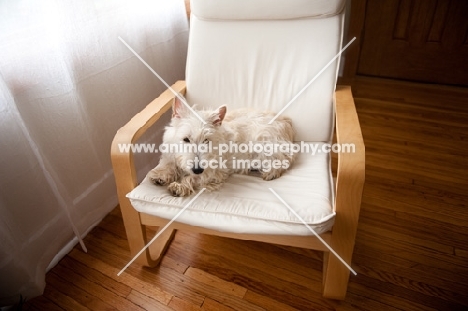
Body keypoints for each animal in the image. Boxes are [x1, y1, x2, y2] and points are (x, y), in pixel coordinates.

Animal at [147, 95, 296, 197]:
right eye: (186, 139)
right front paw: (160, 175)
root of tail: (286, 121)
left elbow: (194, 178)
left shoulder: (215, 172)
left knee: (285, 158)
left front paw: (179, 186)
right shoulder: (172, 154)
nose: (197, 169)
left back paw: (271, 173)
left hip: (265, 143)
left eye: (206, 140)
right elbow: (169, 164)